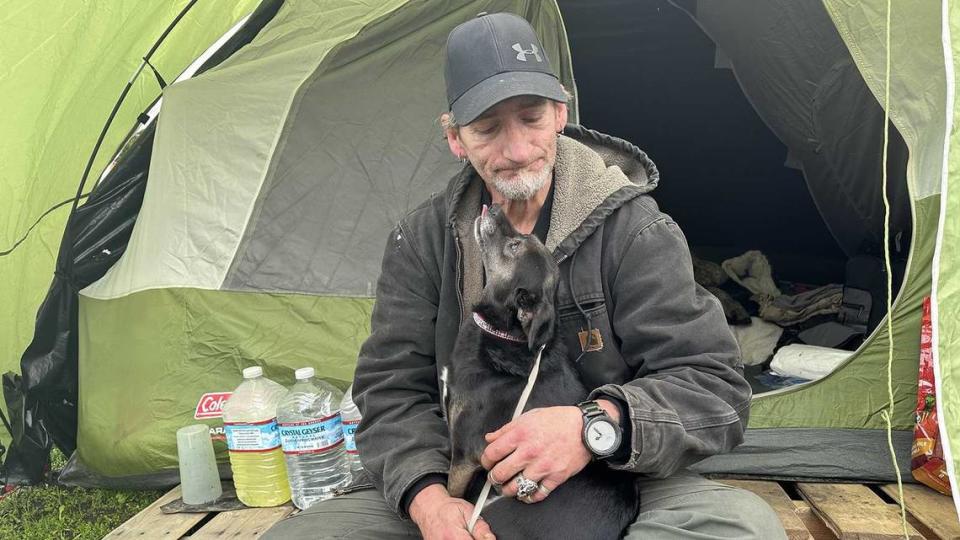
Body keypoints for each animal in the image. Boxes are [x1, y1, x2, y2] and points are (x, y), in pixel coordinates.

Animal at [446, 206, 640, 540]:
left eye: (514, 246)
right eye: (520, 239)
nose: (494, 208)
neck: (506, 336)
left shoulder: (464, 456)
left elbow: (448, 495)